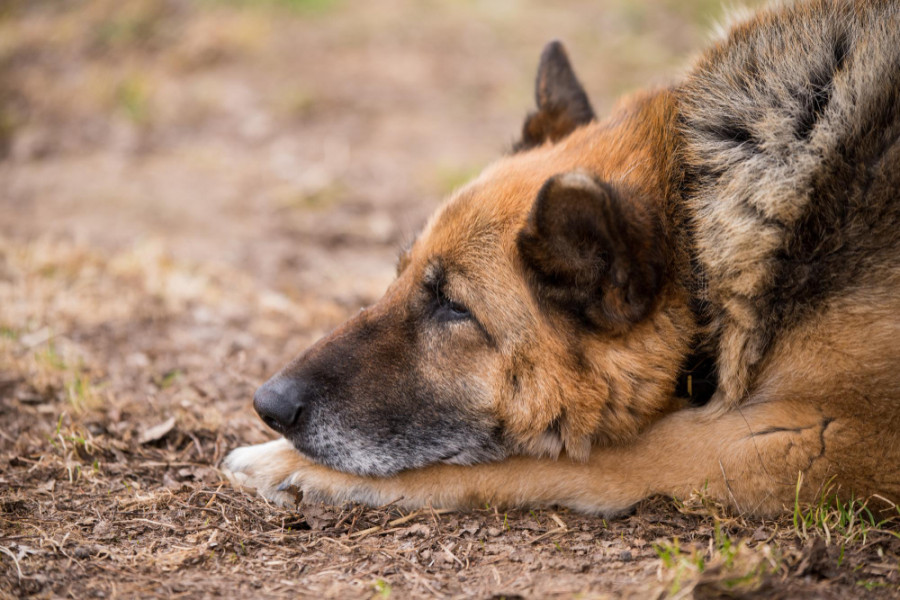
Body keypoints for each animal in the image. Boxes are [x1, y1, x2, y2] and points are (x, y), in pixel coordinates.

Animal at [223, 0, 900, 516]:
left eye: (453, 307)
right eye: (400, 275)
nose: (268, 406)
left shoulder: (809, 436)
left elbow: (542, 455)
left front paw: (282, 462)